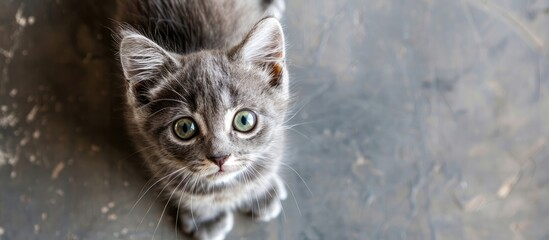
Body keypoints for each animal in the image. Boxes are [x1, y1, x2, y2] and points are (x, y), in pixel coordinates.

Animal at [116, 0, 292, 239]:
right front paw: (204, 217)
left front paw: (260, 192)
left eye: (244, 120)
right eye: (184, 128)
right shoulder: (144, 142)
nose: (220, 158)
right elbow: (181, 187)